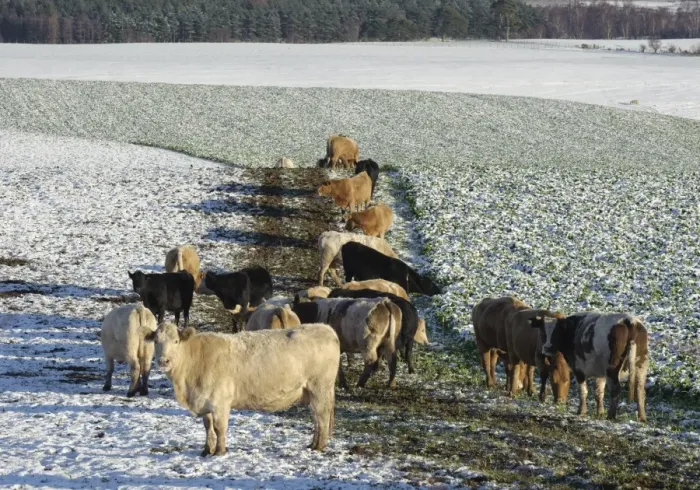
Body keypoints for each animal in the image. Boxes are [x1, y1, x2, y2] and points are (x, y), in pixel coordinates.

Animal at [145, 323, 340, 453]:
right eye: (156, 341)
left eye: (176, 341)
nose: (163, 361)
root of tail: (326, 328)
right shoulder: (205, 403)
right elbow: (208, 427)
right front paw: (207, 450)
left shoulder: (220, 402)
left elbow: (219, 428)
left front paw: (220, 451)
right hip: (313, 391)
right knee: (317, 418)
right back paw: (313, 444)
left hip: (320, 387)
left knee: (322, 417)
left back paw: (319, 446)